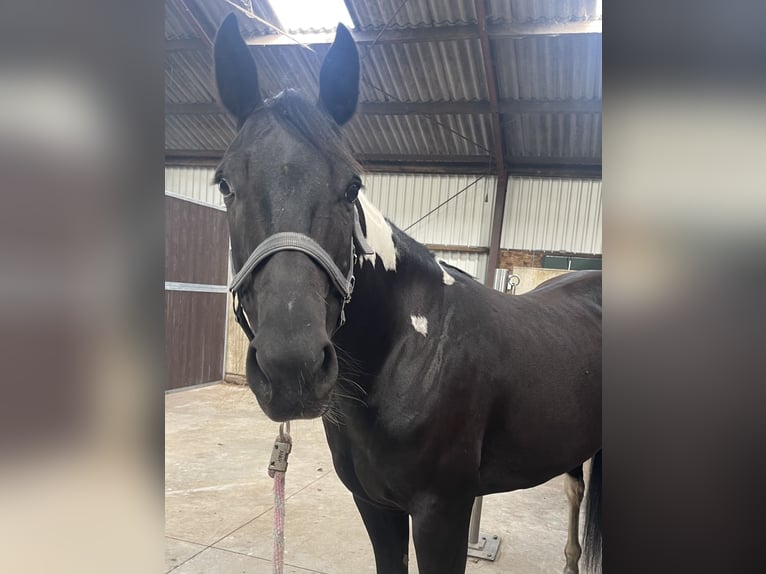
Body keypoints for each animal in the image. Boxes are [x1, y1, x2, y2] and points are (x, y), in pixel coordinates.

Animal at [212, 14, 602, 574]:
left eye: (352, 186)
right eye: (225, 185)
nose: (292, 366)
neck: (413, 348)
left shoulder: (444, 513)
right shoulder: (375, 506)